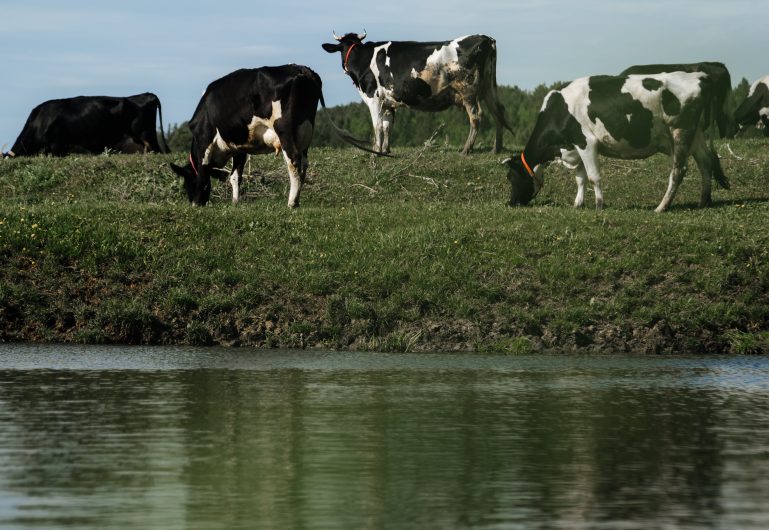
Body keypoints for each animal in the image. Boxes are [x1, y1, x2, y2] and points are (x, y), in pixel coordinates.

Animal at [170, 64, 322, 206]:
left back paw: (292, 203)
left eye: (187, 183)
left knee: (294, 161)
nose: (193, 200)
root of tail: (300, 69)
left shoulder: (204, 141)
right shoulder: (239, 147)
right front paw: (235, 201)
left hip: (284, 130)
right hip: (305, 132)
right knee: (304, 164)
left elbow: (202, 174)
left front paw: (196, 204)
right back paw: (297, 199)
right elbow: (235, 176)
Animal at [320, 31, 512, 155]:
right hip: (488, 87)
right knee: (498, 111)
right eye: (343, 48)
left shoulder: (374, 98)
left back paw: (466, 150)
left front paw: (375, 152)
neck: (365, 59)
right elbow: (387, 125)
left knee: (476, 115)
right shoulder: (389, 102)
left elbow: (377, 126)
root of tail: (486, 38)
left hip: (468, 90)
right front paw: (385, 151)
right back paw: (496, 149)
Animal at [500, 71, 728, 211]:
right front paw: (578, 204)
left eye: (510, 177)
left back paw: (661, 207)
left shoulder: (586, 142)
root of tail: (699, 75)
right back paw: (703, 201)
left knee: (679, 170)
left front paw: (599, 205)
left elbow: (593, 177)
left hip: (680, 130)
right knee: (706, 161)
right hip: (695, 133)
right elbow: (580, 178)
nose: (510, 202)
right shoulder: (575, 146)